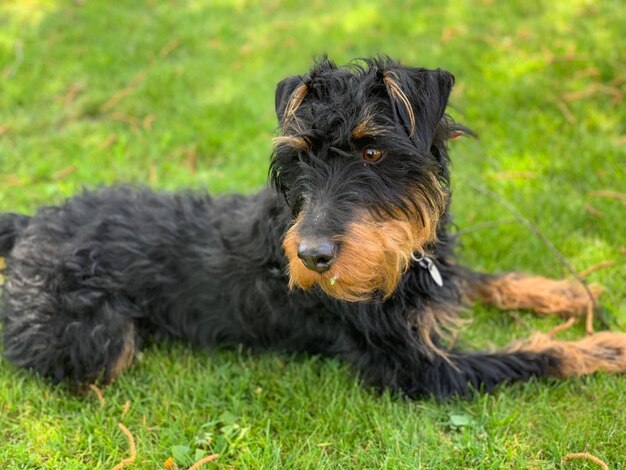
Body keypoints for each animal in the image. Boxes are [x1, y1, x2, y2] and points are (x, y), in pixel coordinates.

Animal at [1, 57, 624, 398]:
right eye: (299, 158)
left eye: (372, 151)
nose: (312, 258)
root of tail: (29, 224)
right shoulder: (419, 369)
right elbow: (530, 355)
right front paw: (602, 346)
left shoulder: (427, 270)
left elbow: (487, 280)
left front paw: (568, 293)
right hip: (97, 338)